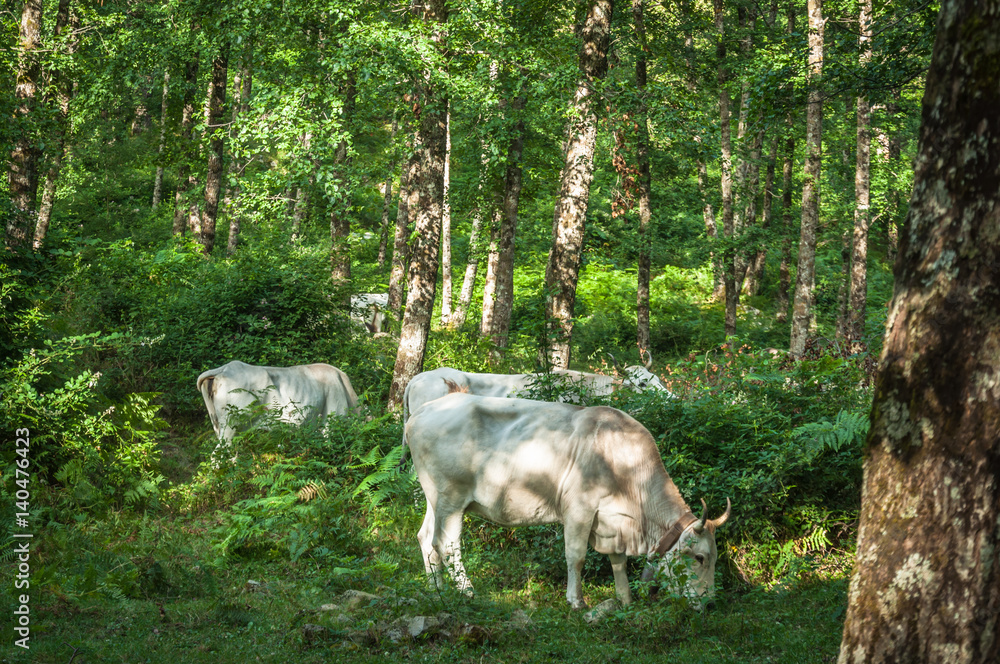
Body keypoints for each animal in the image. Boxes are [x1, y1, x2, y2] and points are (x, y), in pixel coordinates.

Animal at [405, 392, 731, 610]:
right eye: (700, 557)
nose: (710, 604)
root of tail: (421, 412)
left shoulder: (612, 523)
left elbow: (618, 561)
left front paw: (624, 600)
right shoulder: (579, 509)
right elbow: (576, 556)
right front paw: (576, 601)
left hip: (434, 497)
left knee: (425, 537)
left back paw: (436, 590)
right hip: (451, 497)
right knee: (446, 543)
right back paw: (467, 591)